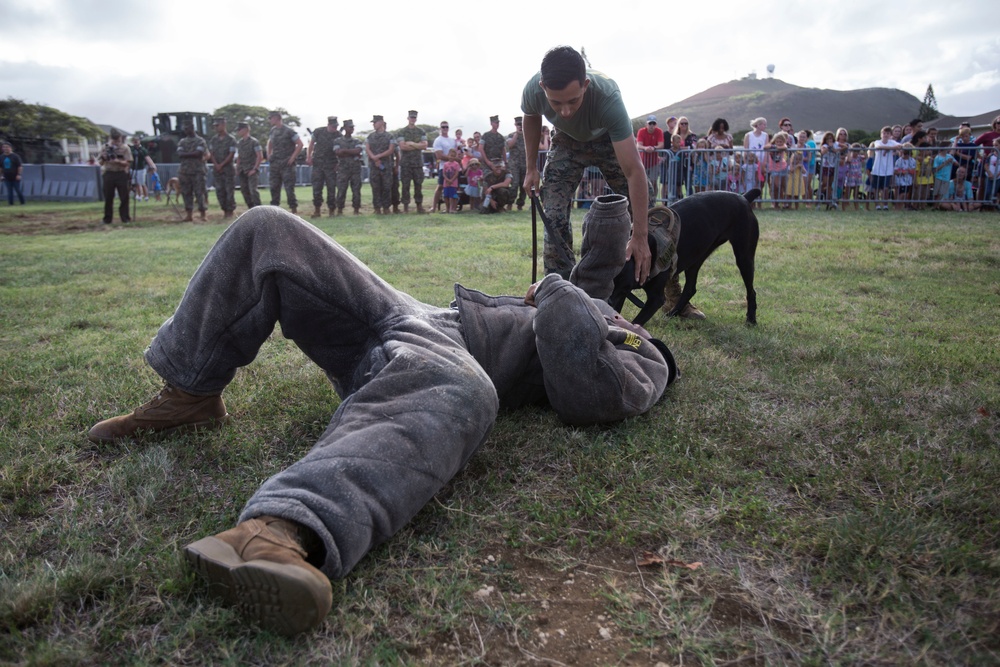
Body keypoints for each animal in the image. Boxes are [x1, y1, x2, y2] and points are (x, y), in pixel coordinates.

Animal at [604, 189, 760, 328]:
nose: (606, 301)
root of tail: (743, 198)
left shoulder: (655, 298)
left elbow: (636, 322)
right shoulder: (622, 293)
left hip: (744, 257)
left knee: (751, 291)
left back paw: (751, 319)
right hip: (695, 259)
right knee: (690, 288)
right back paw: (673, 313)